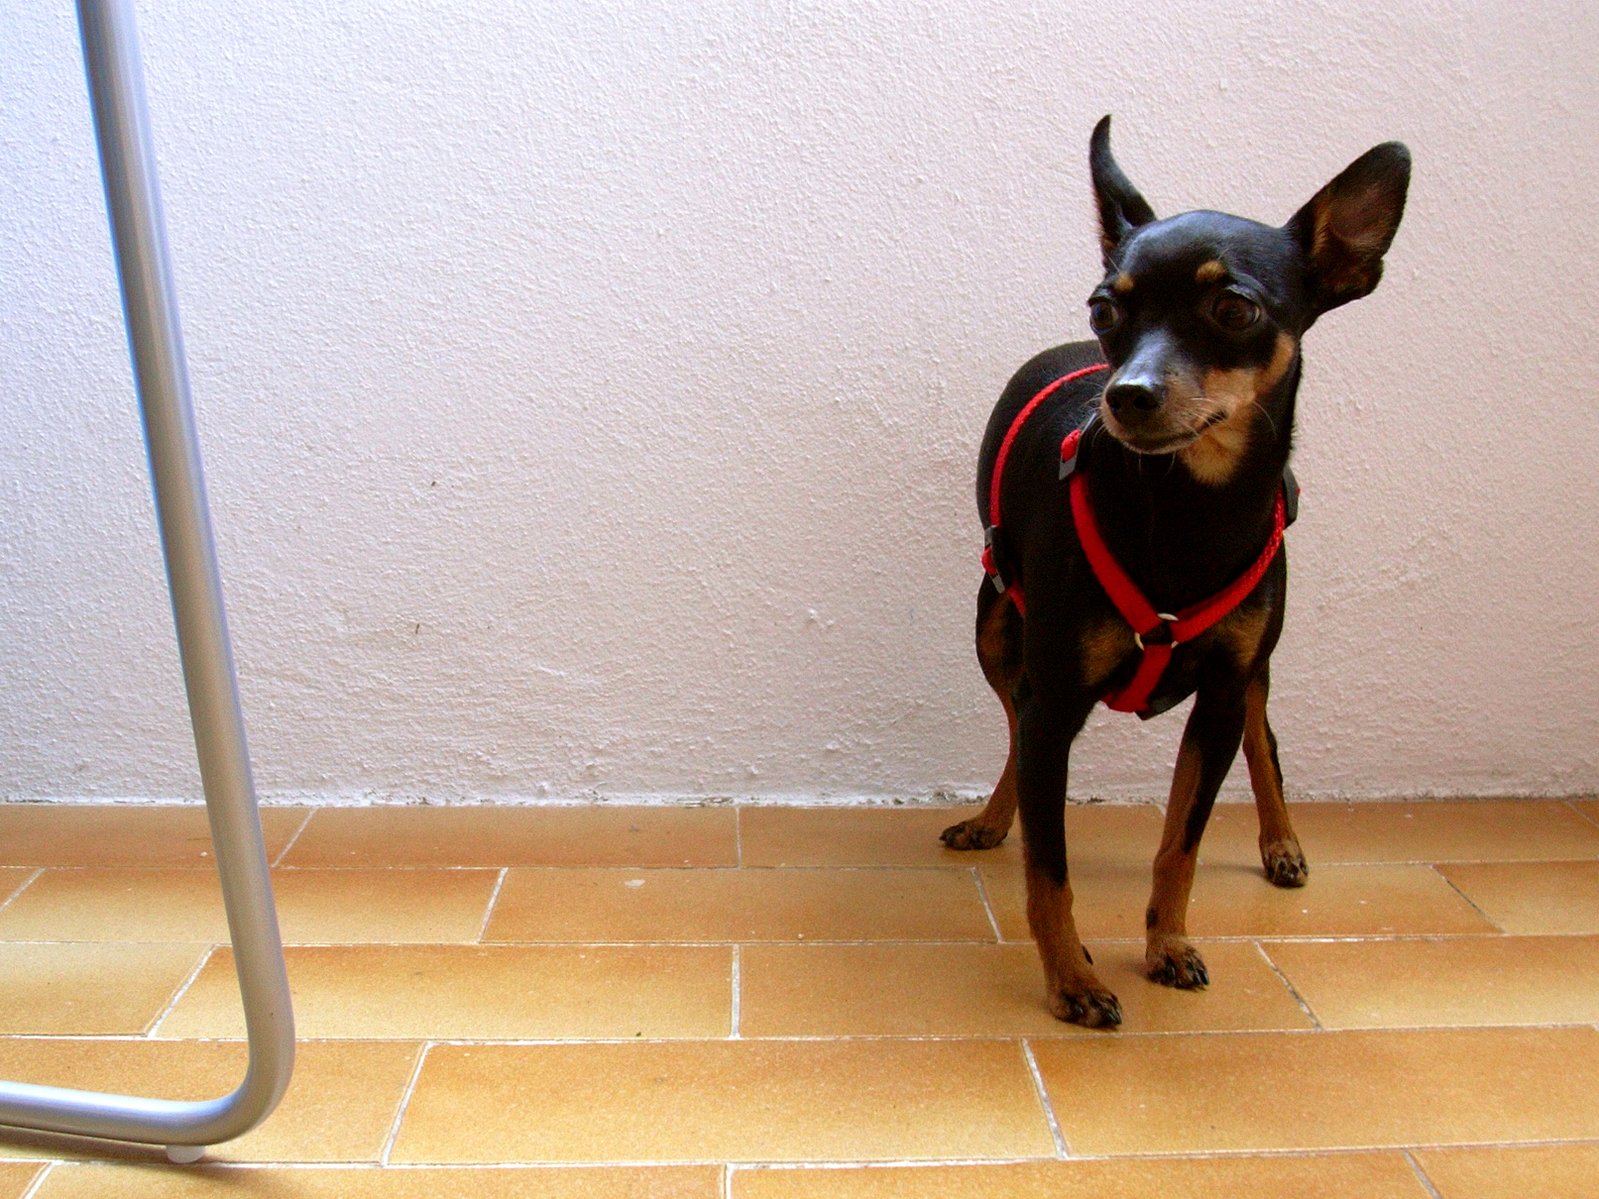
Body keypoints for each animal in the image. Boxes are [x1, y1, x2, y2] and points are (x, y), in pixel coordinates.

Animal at [940, 117, 1407, 1029]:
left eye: (1233, 308)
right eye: (1104, 307)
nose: (1126, 393)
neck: (1187, 509)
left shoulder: (1220, 695)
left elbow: (1179, 843)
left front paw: (1166, 943)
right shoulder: (1054, 697)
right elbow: (1049, 869)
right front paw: (1072, 978)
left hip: (1250, 664)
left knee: (1264, 733)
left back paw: (1281, 842)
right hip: (994, 630)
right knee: (1014, 731)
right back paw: (994, 819)